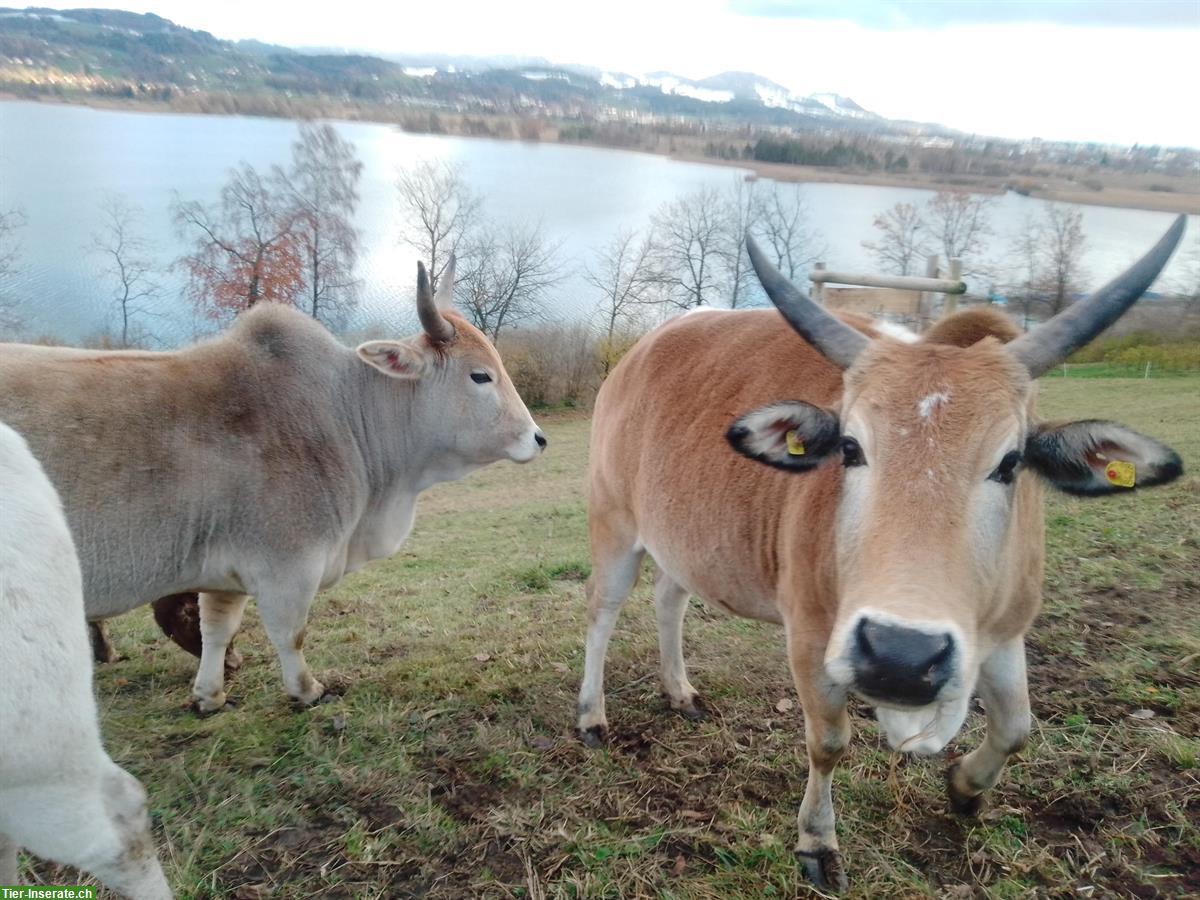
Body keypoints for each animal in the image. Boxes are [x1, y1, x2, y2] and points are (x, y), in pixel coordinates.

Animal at [0, 260, 544, 710]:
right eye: (480, 376)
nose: (537, 438)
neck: (346, 413)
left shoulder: (224, 571)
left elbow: (217, 628)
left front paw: (210, 694)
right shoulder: (287, 563)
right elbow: (291, 633)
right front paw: (306, 691)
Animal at [576, 217, 1185, 888]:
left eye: (1011, 462)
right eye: (849, 447)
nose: (900, 654)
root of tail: (643, 349)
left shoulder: (1002, 633)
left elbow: (1017, 726)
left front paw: (966, 788)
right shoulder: (813, 635)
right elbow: (829, 742)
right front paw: (817, 842)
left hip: (681, 540)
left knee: (669, 599)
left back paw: (679, 690)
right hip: (612, 520)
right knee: (602, 612)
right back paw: (591, 715)